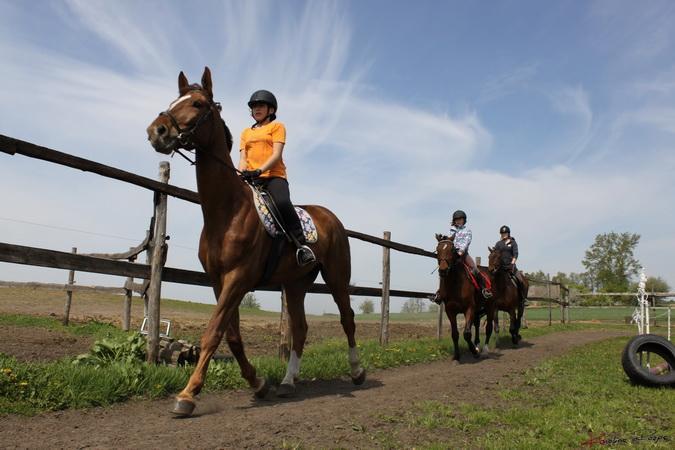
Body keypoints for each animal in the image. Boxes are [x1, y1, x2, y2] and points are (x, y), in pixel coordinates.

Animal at [147, 67, 364, 418]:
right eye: (172, 102)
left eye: (196, 103)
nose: (157, 131)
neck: (227, 211)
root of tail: (330, 217)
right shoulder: (219, 281)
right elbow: (232, 335)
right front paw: (259, 384)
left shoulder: (238, 279)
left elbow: (213, 332)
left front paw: (188, 395)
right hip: (295, 284)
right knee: (300, 328)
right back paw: (288, 382)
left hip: (336, 277)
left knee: (347, 318)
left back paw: (357, 371)